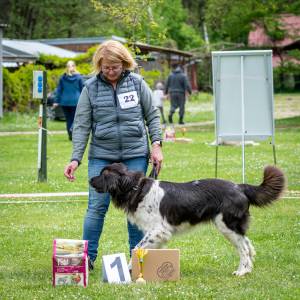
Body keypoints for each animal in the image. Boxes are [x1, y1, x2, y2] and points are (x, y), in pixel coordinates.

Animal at [90, 163, 284, 276]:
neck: (134, 188)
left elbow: (136, 248)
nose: (90, 179)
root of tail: (240, 186)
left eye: (102, 175)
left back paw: (242, 271)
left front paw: (128, 269)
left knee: (243, 248)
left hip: (226, 224)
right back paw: (249, 268)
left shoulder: (159, 230)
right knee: (248, 244)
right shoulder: (155, 233)